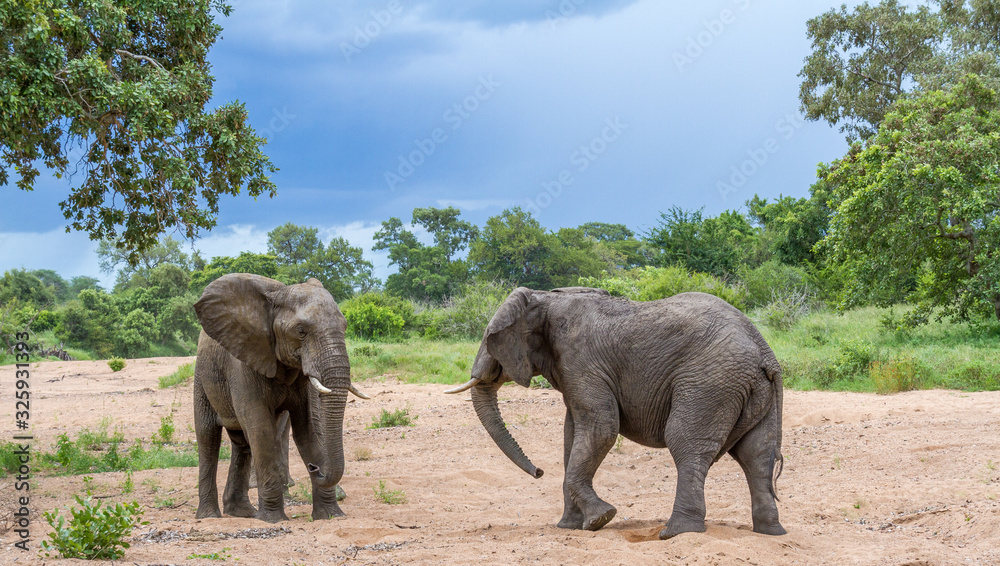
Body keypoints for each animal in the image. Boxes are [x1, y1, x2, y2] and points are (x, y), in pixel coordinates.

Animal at [192, 273, 368, 523]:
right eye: (301, 331)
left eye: (344, 327)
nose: (314, 468)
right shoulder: (244, 362)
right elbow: (261, 429)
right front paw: (273, 519)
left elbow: (309, 429)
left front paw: (330, 516)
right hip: (202, 375)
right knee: (208, 437)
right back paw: (209, 516)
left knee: (241, 443)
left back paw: (242, 512)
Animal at [446, 287, 785, 539]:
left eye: (491, 340)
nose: (538, 472)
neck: (545, 298)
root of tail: (765, 352)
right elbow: (572, 436)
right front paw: (572, 527)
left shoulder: (581, 360)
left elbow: (601, 428)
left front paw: (601, 519)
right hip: (748, 390)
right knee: (756, 454)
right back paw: (770, 532)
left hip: (709, 383)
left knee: (686, 444)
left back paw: (676, 533)